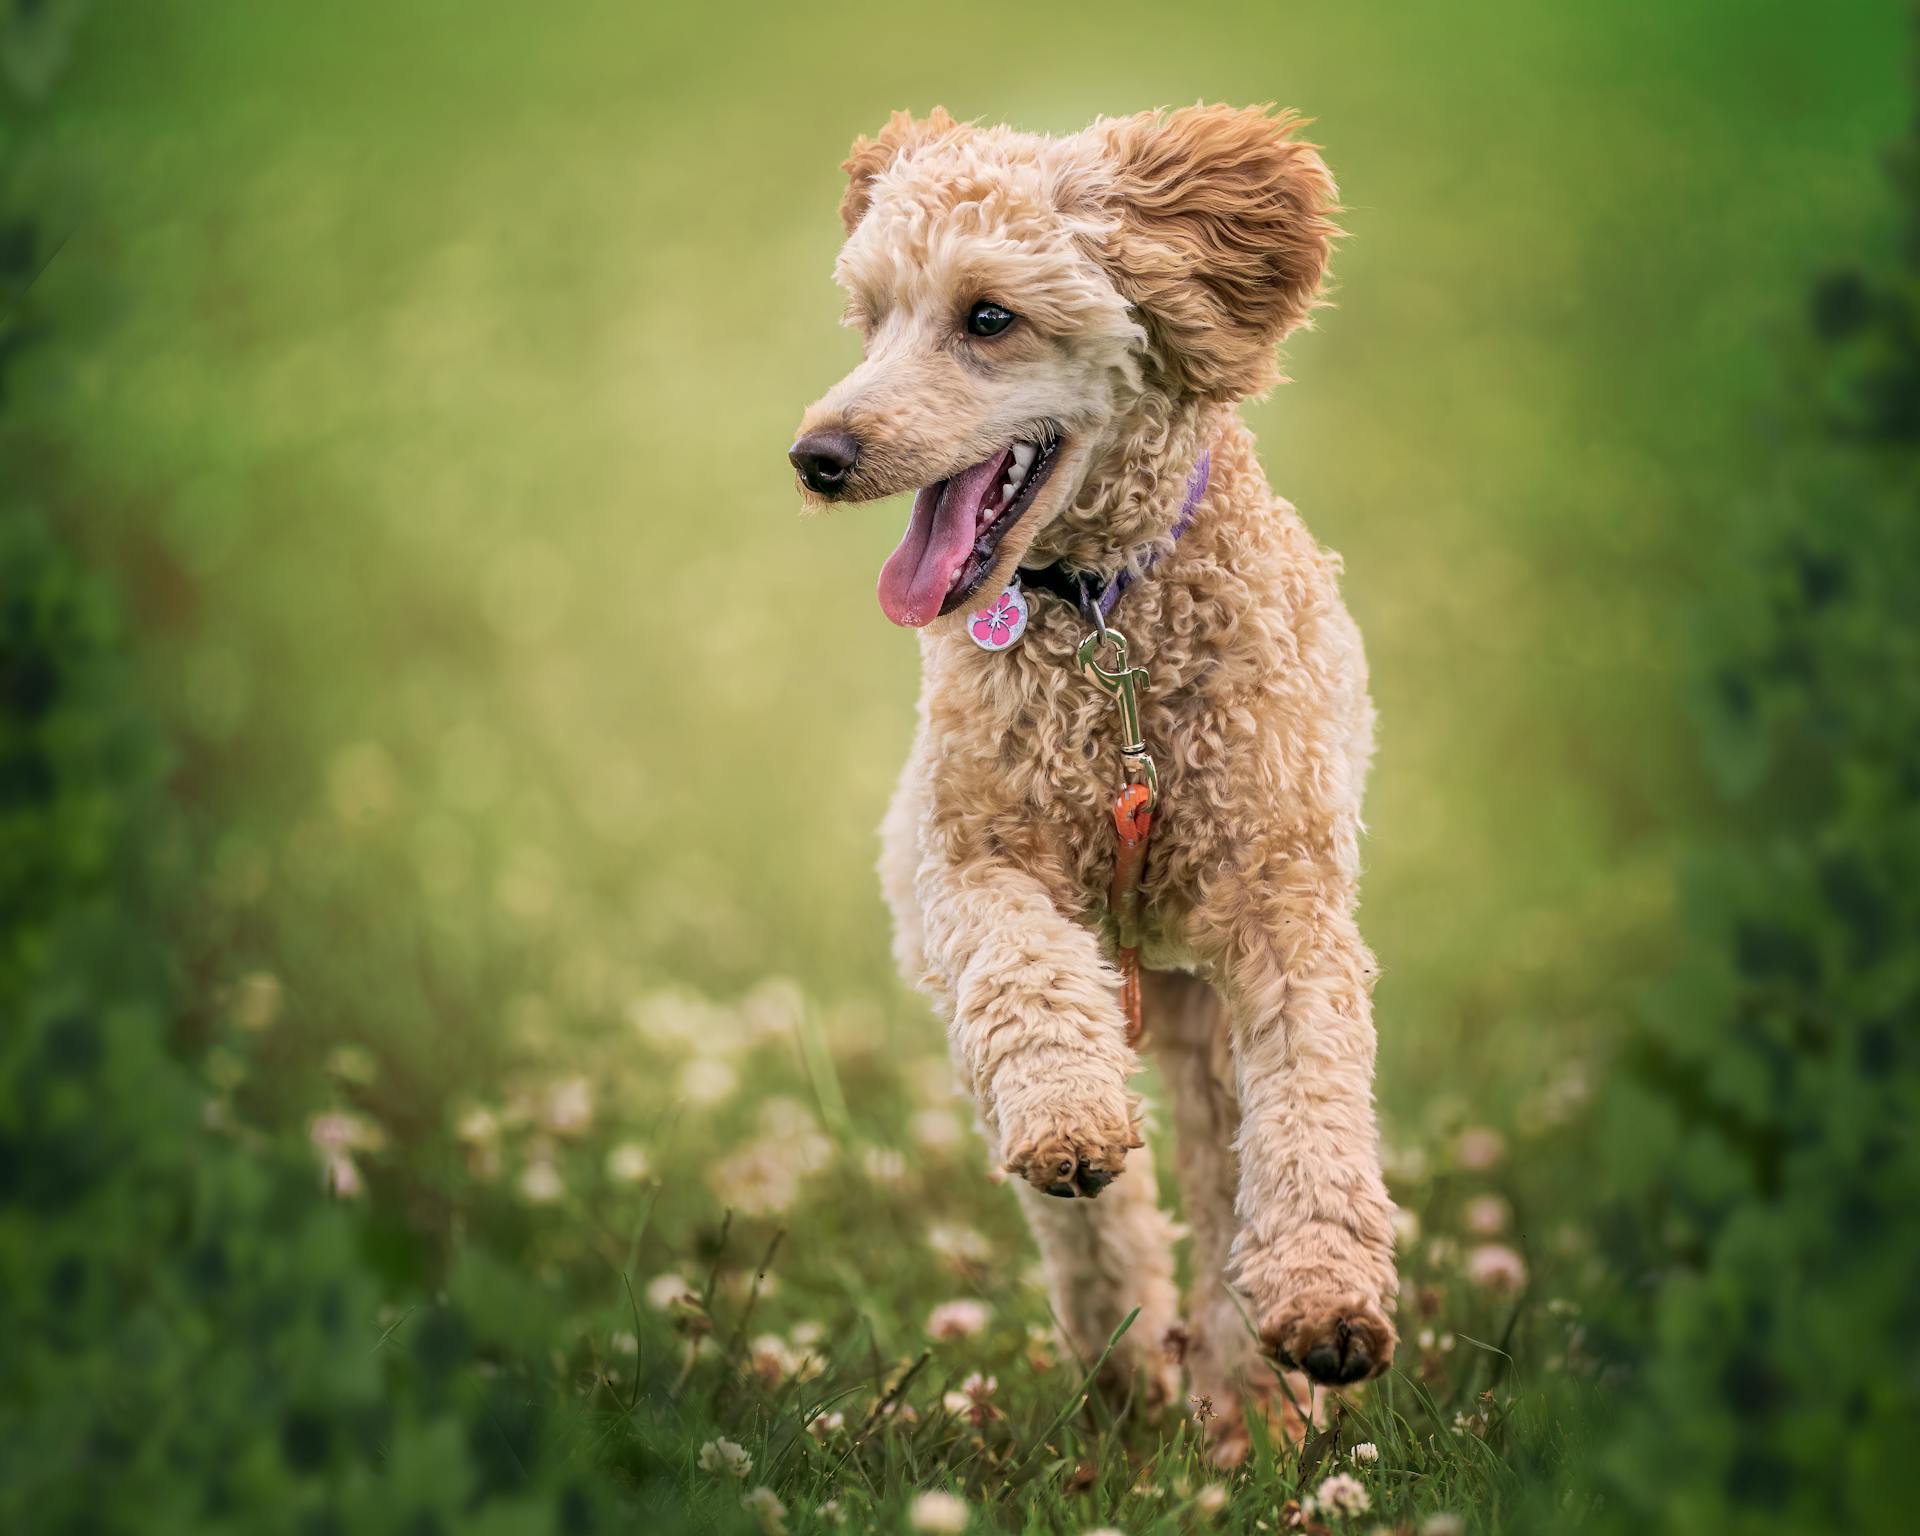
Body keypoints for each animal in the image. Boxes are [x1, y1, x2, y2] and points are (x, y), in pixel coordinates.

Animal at [791, 105, 1397, 1451]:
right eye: (873, 316)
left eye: (988, 317)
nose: (817, 455)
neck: (1102, 621)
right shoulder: (969, 862)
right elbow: (1026, 980)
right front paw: (1071, 1118)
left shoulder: (1282, 904)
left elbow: (1316, 1097)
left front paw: (1327, 1299)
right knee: (1087, 1213)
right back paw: (1128, 1362)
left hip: (1200, 1006)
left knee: (1225, 1168)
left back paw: (1249, 1396)